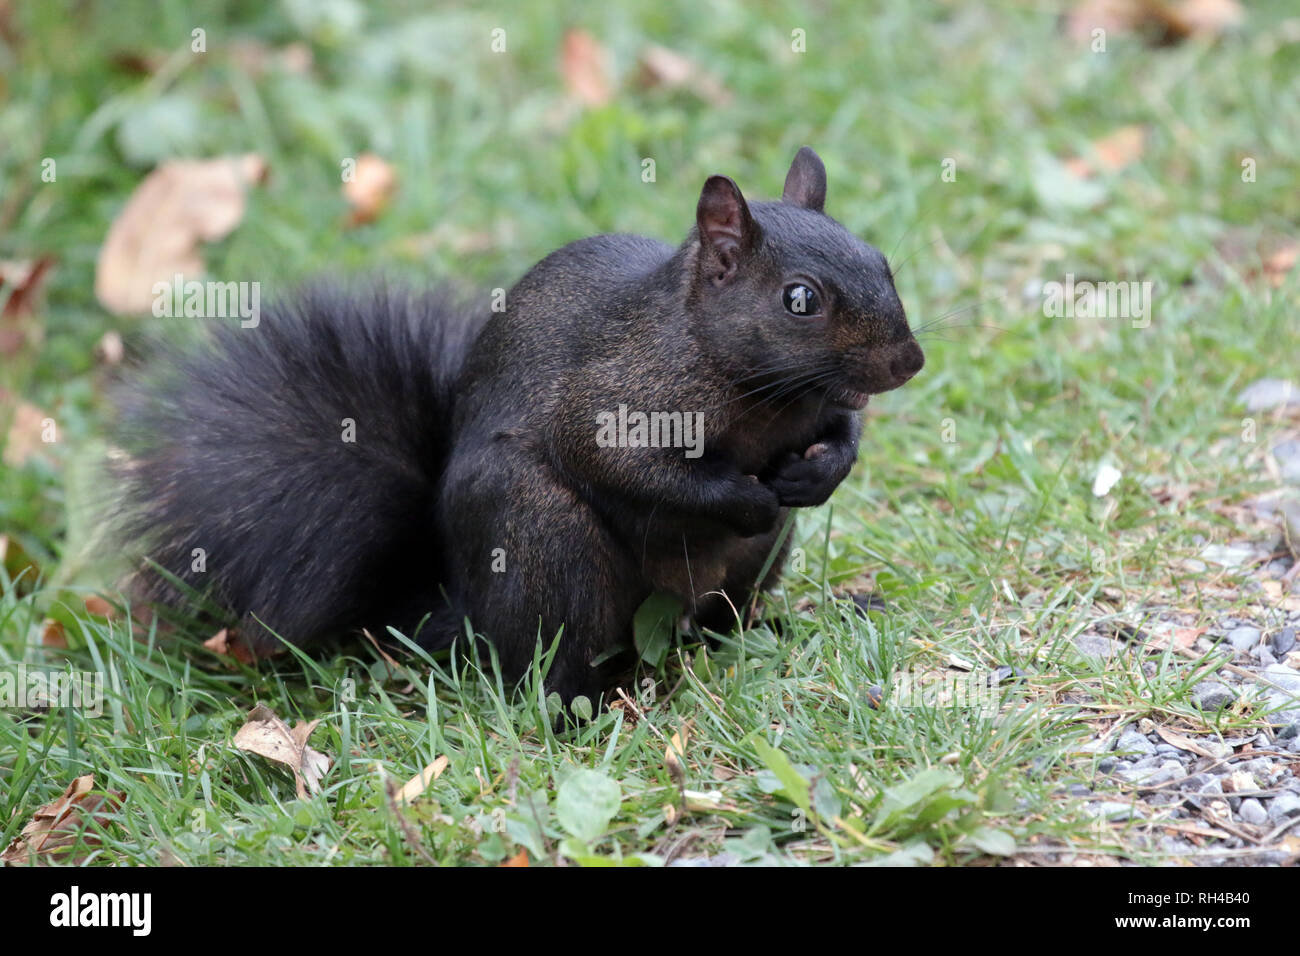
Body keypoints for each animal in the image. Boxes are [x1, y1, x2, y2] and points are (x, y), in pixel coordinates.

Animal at [114, 147, 925, 702]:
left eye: (883, 262)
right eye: (800, 299)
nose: (909, 362)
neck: (759, 388)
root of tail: (459, 612)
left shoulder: (823, 408)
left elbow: (843, 432)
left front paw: (818, 473)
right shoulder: (613, 399)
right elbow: (627, 465)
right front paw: (747, 495)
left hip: (749, 565)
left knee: (718, 618)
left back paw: (775, 624)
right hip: (540, 534)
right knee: (546, 661)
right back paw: (590, 702)